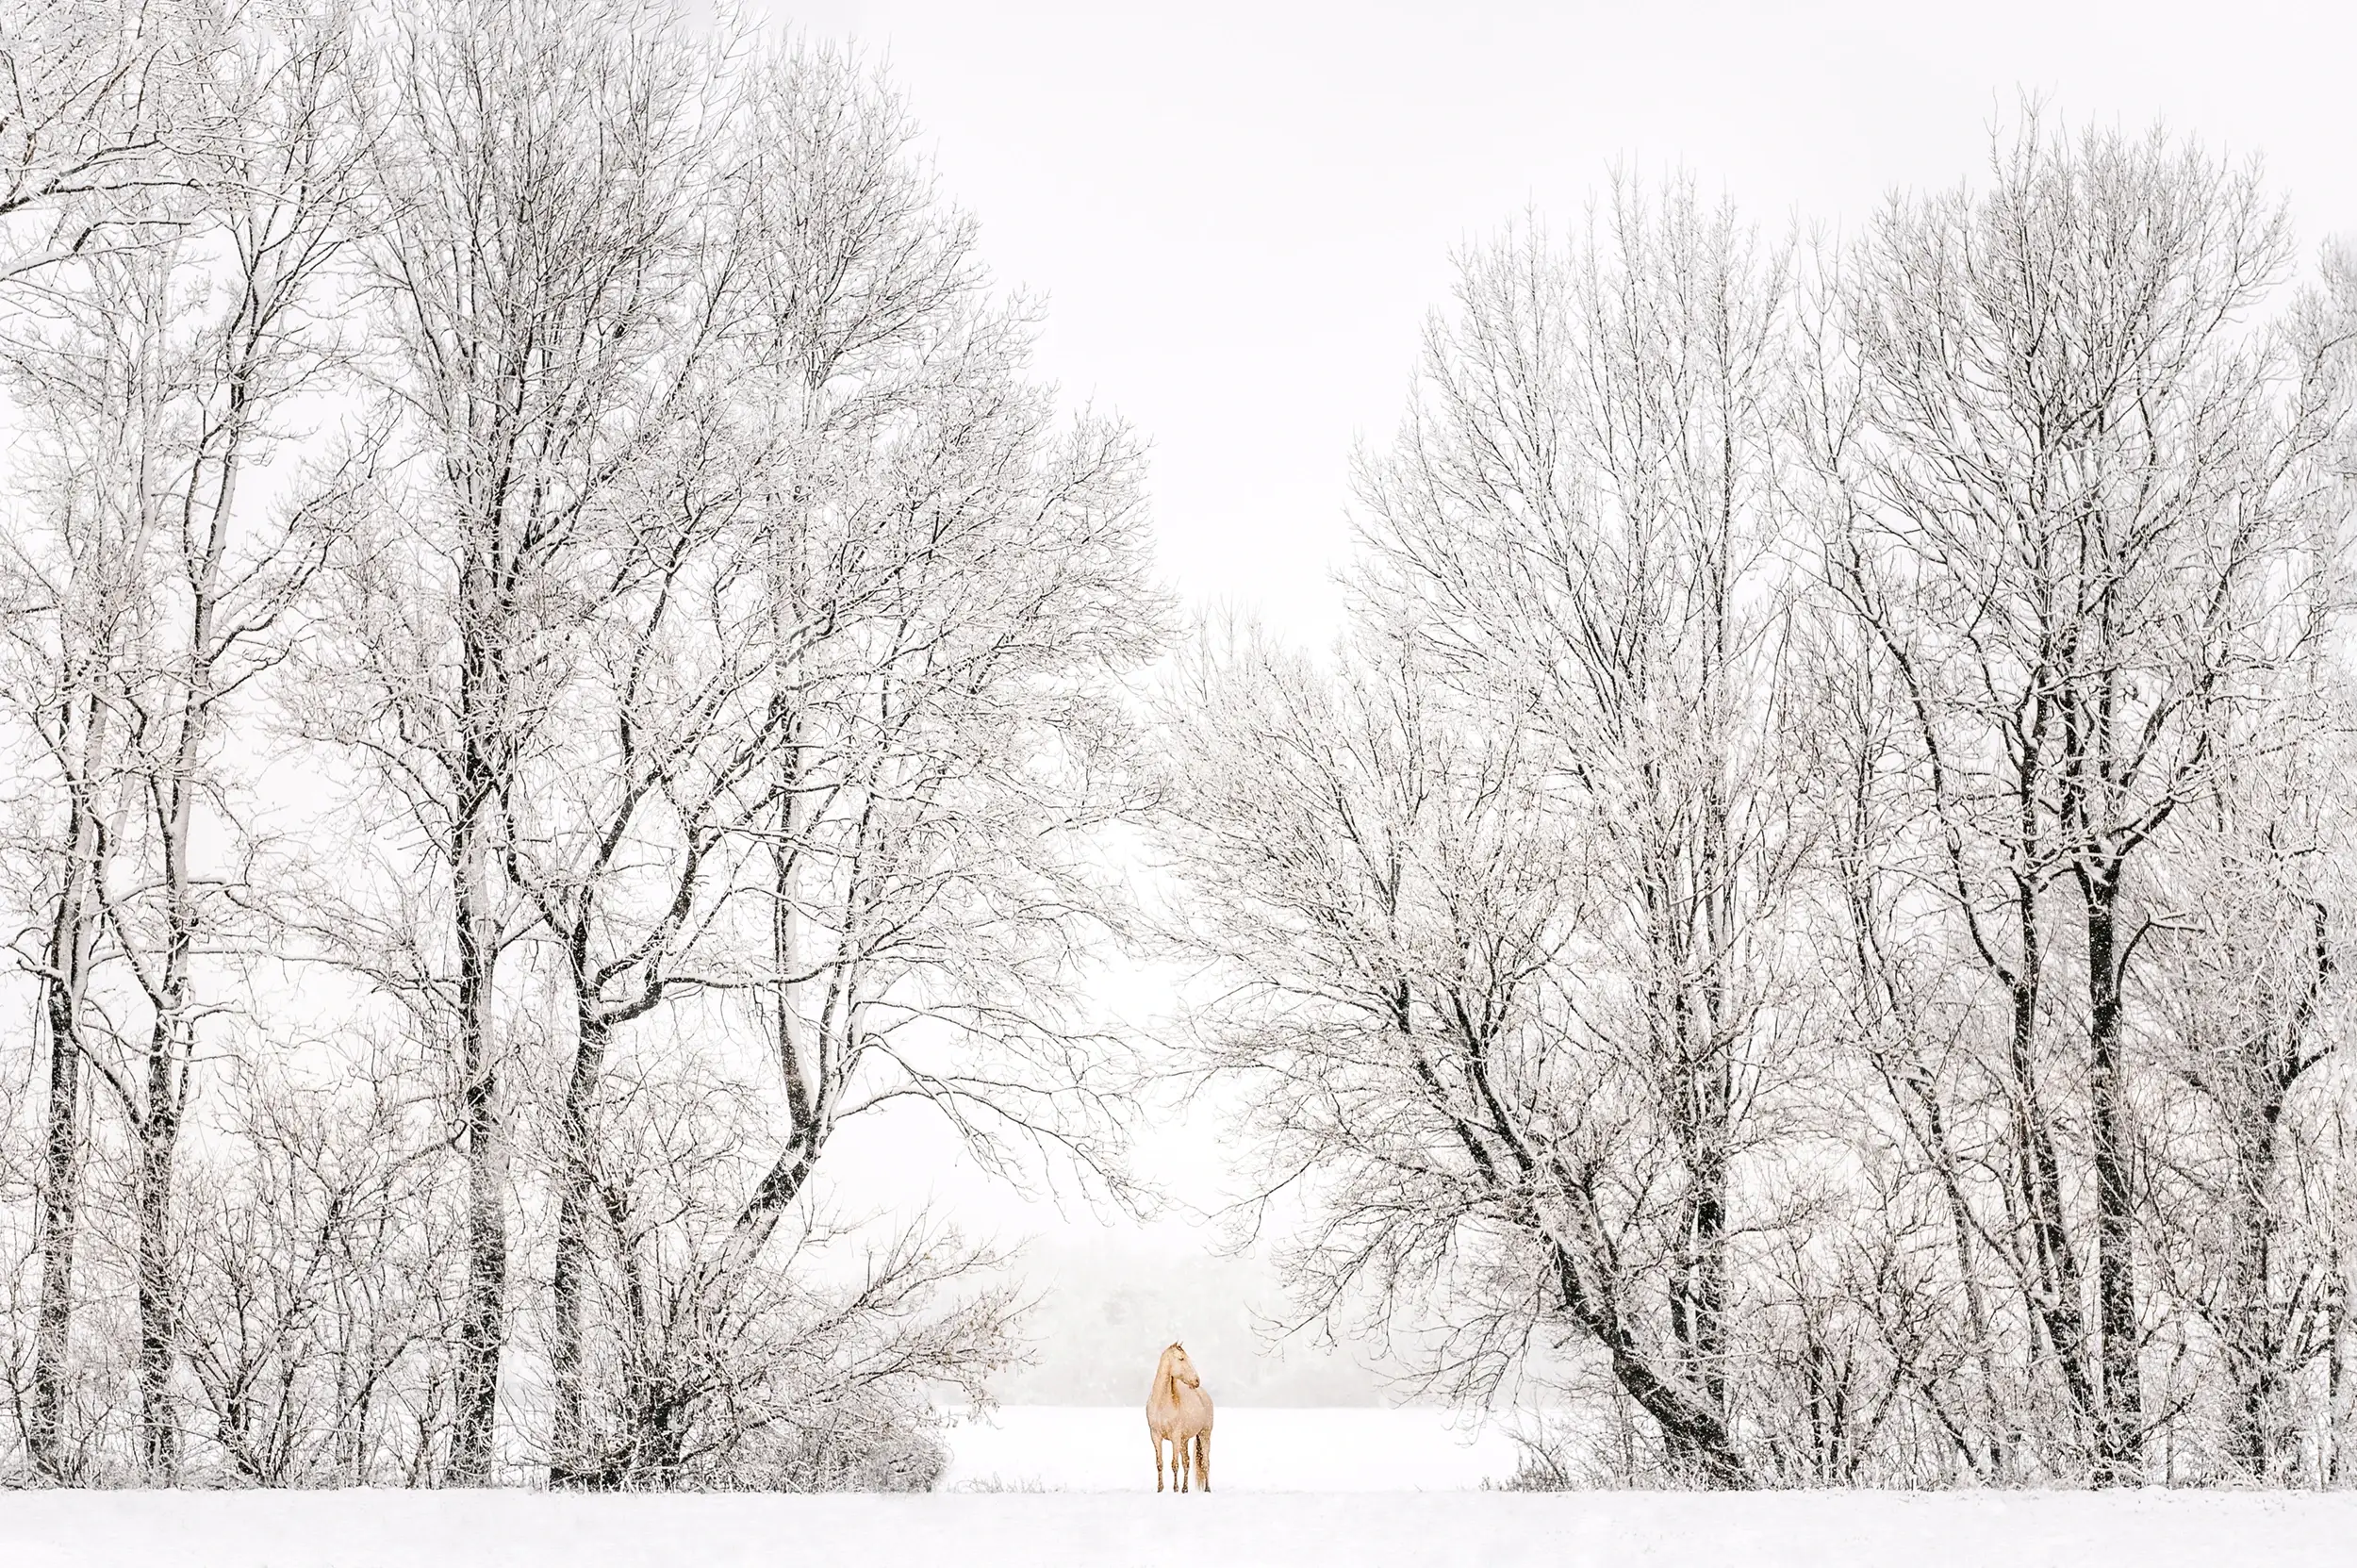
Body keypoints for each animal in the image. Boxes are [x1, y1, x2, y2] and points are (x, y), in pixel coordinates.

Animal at [1146, 1329, 1216, 1490]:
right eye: (1181, 1359)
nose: (1197, 1381)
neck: (1162, 1403)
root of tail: (1204, 1394)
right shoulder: (1156, 1436)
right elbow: (1160, 1464)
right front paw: (1160, 1488)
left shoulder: (1175, 1437)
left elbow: (1174, 1464)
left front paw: (1175, 1488)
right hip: (1185, 1440)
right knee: (1187, 1462)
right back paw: (1185, 1489)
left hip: (1204, 1435)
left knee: (1205, 1463)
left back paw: (1207, 1489)